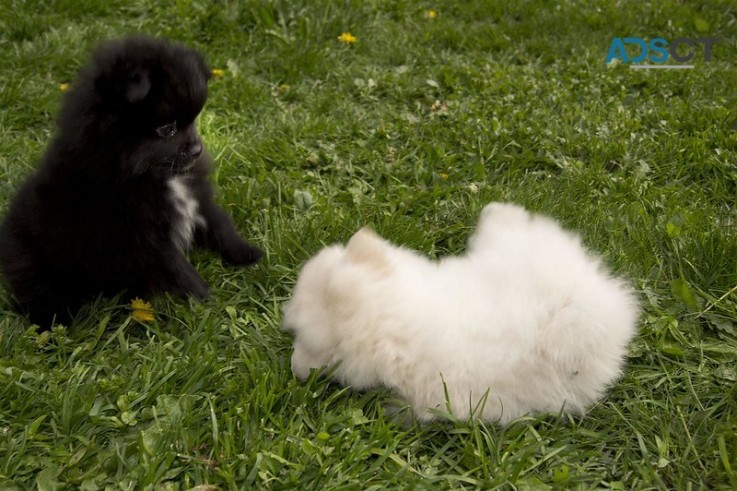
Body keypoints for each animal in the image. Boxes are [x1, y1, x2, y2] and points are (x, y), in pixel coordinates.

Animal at [0, 35, 264, 326]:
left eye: (193, 119)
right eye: (167, 129)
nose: (197, 150)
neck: (154, 174)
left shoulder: (197, 199)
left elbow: (221, 226)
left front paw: (247, 254)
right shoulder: (142, 238)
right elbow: (177, 268)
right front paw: (205, 299)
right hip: (37, 266)